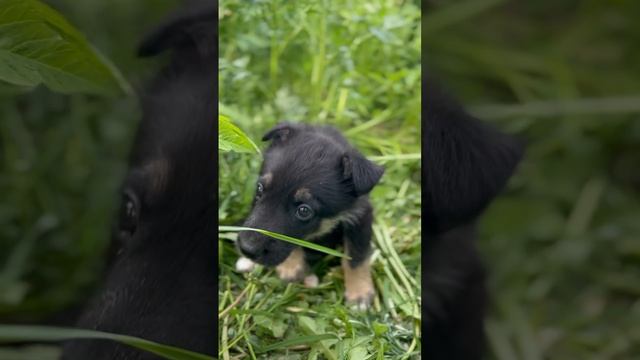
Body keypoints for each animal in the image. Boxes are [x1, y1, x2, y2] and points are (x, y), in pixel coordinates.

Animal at [235, 124, 384, 310]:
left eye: (304, 211)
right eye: (260, 188)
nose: (246, 248)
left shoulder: (360, 216)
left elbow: (356, 257)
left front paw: (359, 293)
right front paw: (291, 266)